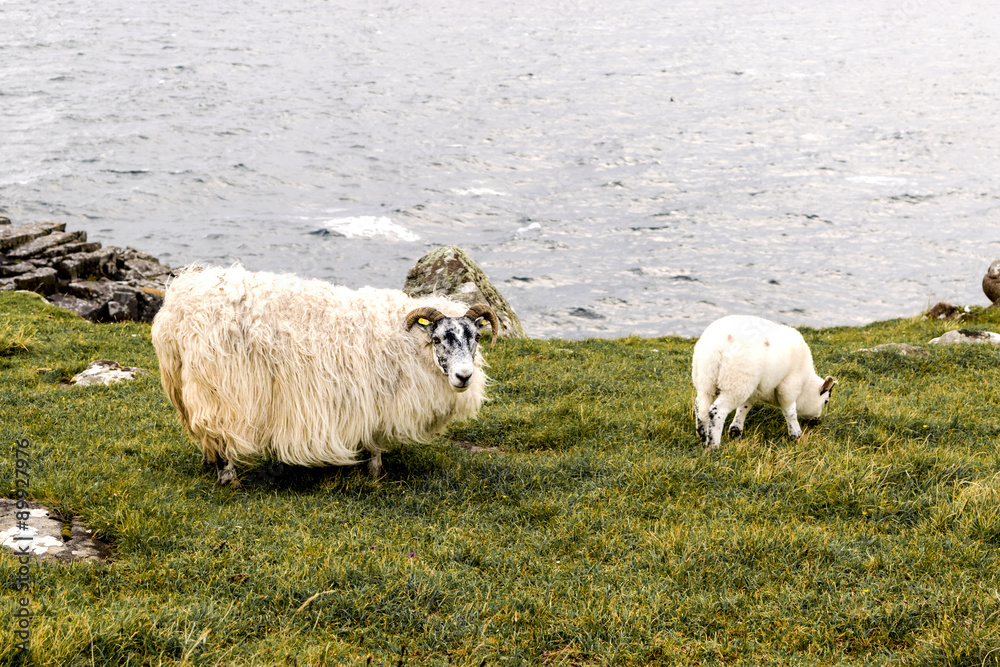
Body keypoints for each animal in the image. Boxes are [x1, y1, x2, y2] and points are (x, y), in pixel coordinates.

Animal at [150, 265, 499, 485]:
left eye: (476, 337)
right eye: (438, 339)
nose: (464, 377)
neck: (409, 340)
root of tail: (179, 306)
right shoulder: (379, 399)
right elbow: (375, 442)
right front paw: (376, 474)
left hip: (186, 385)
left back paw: (209, 462)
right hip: (219, 389)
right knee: (219, 433)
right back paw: (228, 477)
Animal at [691, 315, 836, 449]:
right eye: (826, 401)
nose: (816, 421)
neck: (806, 384)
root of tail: (716, 346)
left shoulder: (752, 390)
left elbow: (744, 408)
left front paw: (735, 433)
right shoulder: (788, 388)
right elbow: (790, 412)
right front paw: (796, 435)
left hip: (706, 380)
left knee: (700, 406)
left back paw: (702, 434)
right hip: (735, 383)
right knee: (717, 411)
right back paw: (713, 446)